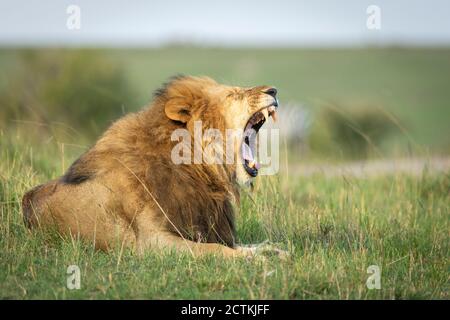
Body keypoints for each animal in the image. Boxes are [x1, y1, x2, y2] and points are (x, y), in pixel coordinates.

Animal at [22, 76, 282, 258]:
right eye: (234, 94)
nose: (273, 90)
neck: (197, 170)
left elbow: (242, 245)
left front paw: (273, 250)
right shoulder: (151, 242)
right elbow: (212, 250)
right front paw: (258, 261)